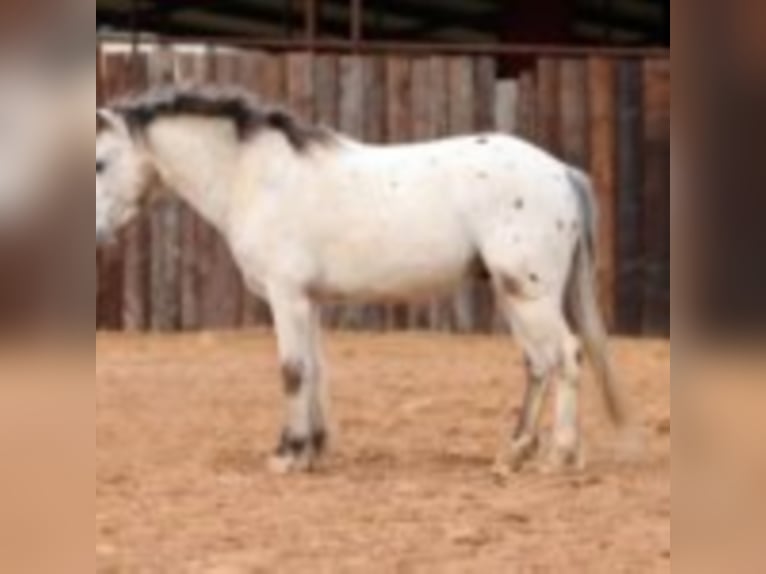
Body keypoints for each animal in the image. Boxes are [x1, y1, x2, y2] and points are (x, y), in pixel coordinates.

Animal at [96, 85, 632, 472]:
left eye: (100, 162)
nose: (97, 234)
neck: (256, 178)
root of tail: (560, 171)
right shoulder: (308, 300)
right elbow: (315, 369)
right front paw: (313, 449)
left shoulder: (286, 296)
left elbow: (292, 370)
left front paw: (287, 454)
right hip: (513, 293)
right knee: (539, 363)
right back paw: (515, 451)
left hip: (532, 293)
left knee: (567, 355)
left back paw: (559, 455)